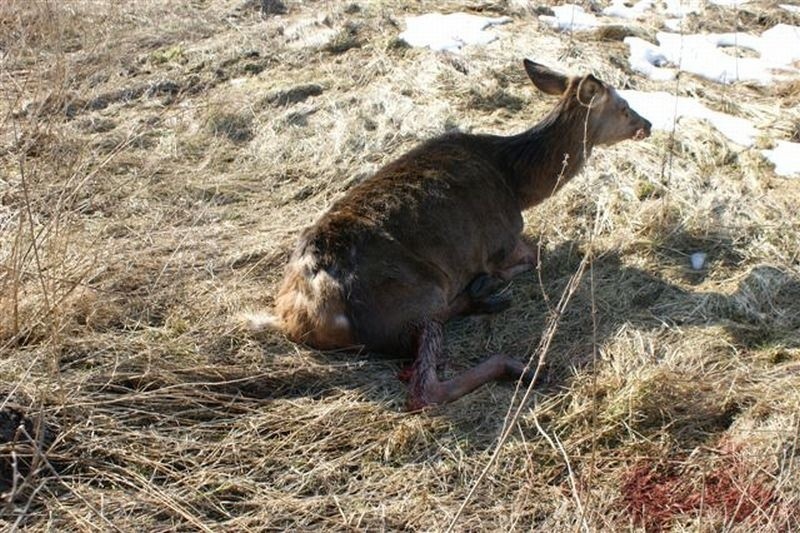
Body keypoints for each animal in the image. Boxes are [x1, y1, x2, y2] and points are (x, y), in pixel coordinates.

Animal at [250, 60, 648, 410]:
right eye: (624, 106)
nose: (648, 123)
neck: (516, 184)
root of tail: (302, 315)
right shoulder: (501, 240)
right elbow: (534, 254)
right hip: (412, 297)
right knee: (425, 388)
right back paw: (515, 359)